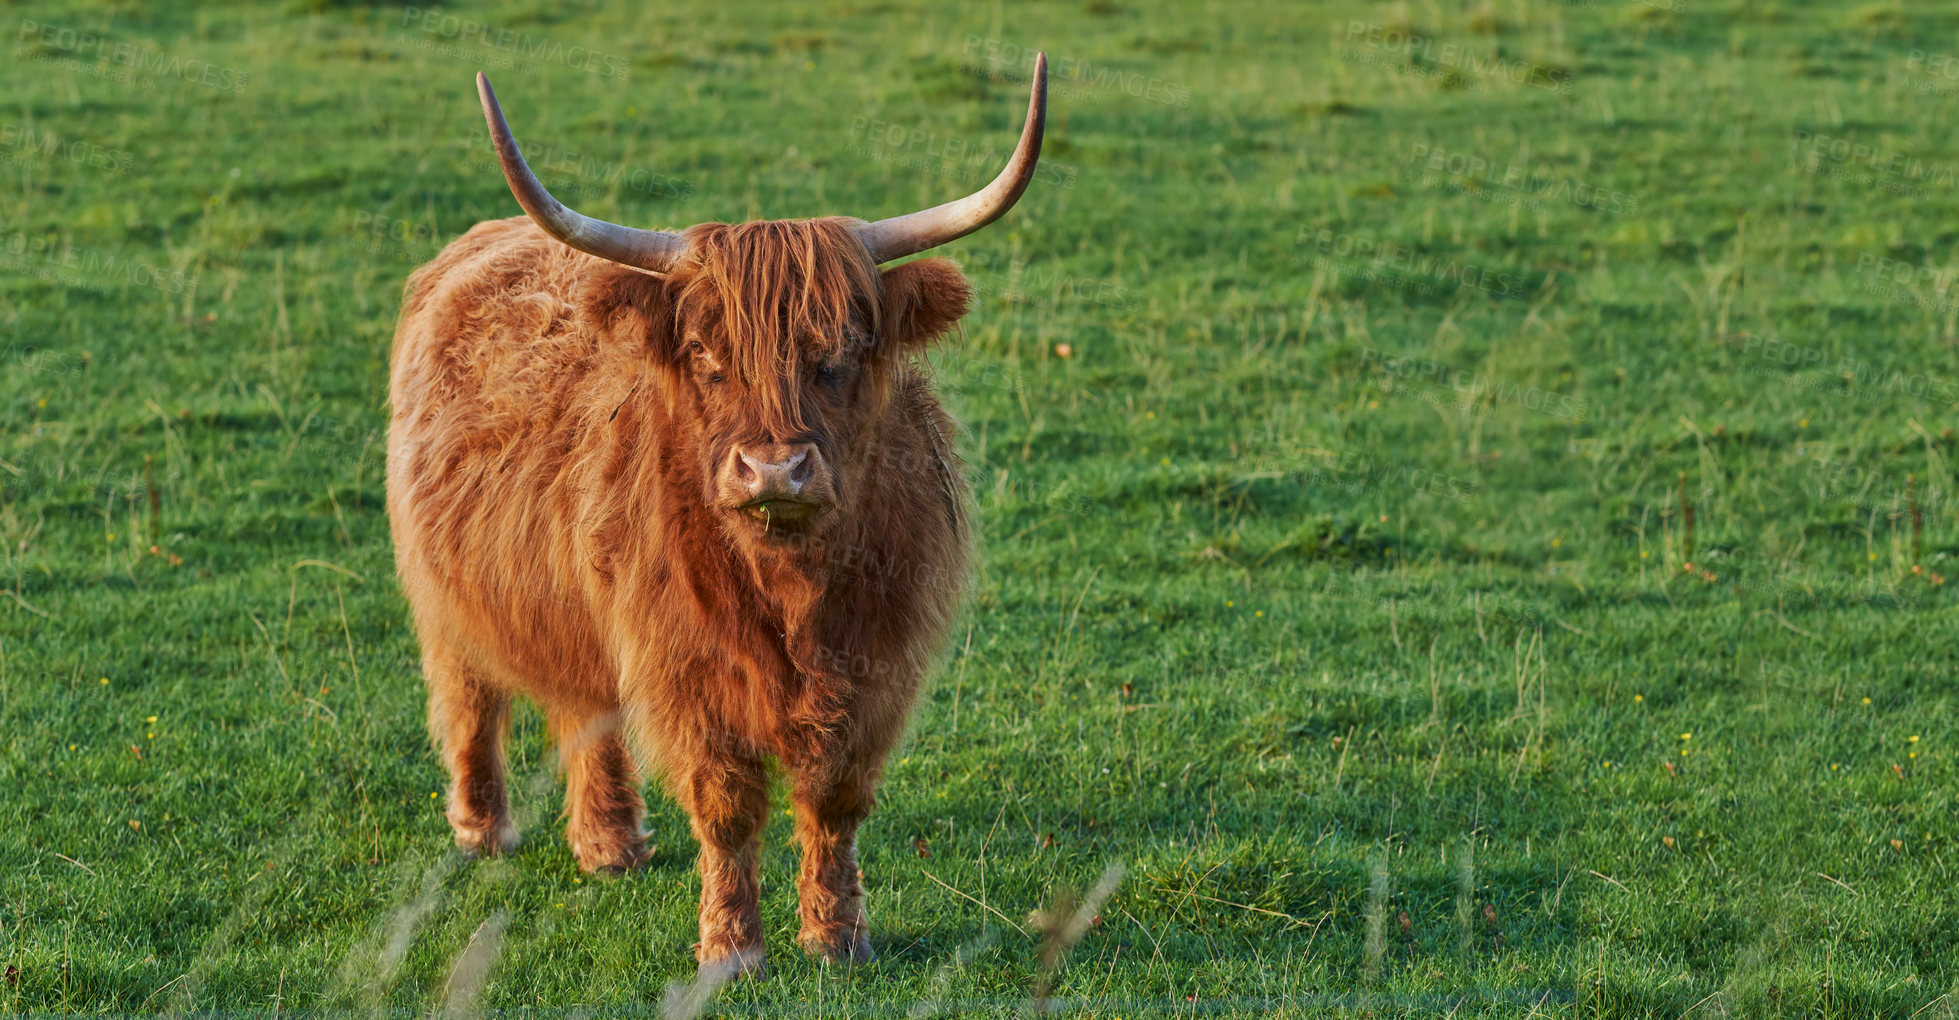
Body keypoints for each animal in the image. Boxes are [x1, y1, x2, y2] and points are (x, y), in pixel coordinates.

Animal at [389, 57, 1050, 978]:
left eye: (840, 353)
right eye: (705, 355)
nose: (774, 469)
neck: (792, 587)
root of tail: (486, 236)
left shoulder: (878, 665)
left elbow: (833, 800)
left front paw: (838, 938)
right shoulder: (685, 667)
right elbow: (728, 807)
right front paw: (731, 950)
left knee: (585, 707)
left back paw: (611, 845)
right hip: (445, 590)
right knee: (468, 696)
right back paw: (483, 830)